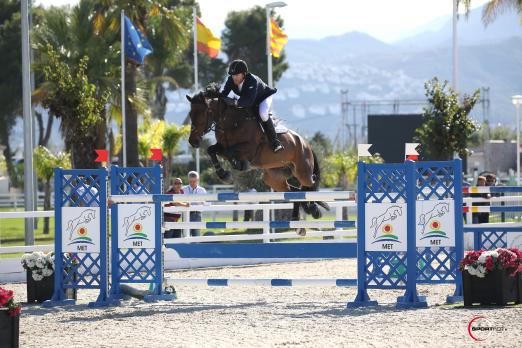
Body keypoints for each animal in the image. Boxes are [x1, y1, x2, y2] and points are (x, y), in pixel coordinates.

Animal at [185, 83, 328, 220]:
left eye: (202, 114)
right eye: (191, 114)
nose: (193, 141)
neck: (231, 122)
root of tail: (305, 143)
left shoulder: (250, 148)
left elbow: (230, 152)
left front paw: (238, 166)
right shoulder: (221, 148)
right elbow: (211, 150)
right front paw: (224, 175)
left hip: (302, 171)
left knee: (310, 183)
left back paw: (314, 208)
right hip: (272, 177)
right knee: (293, 191)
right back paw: (300, 214)